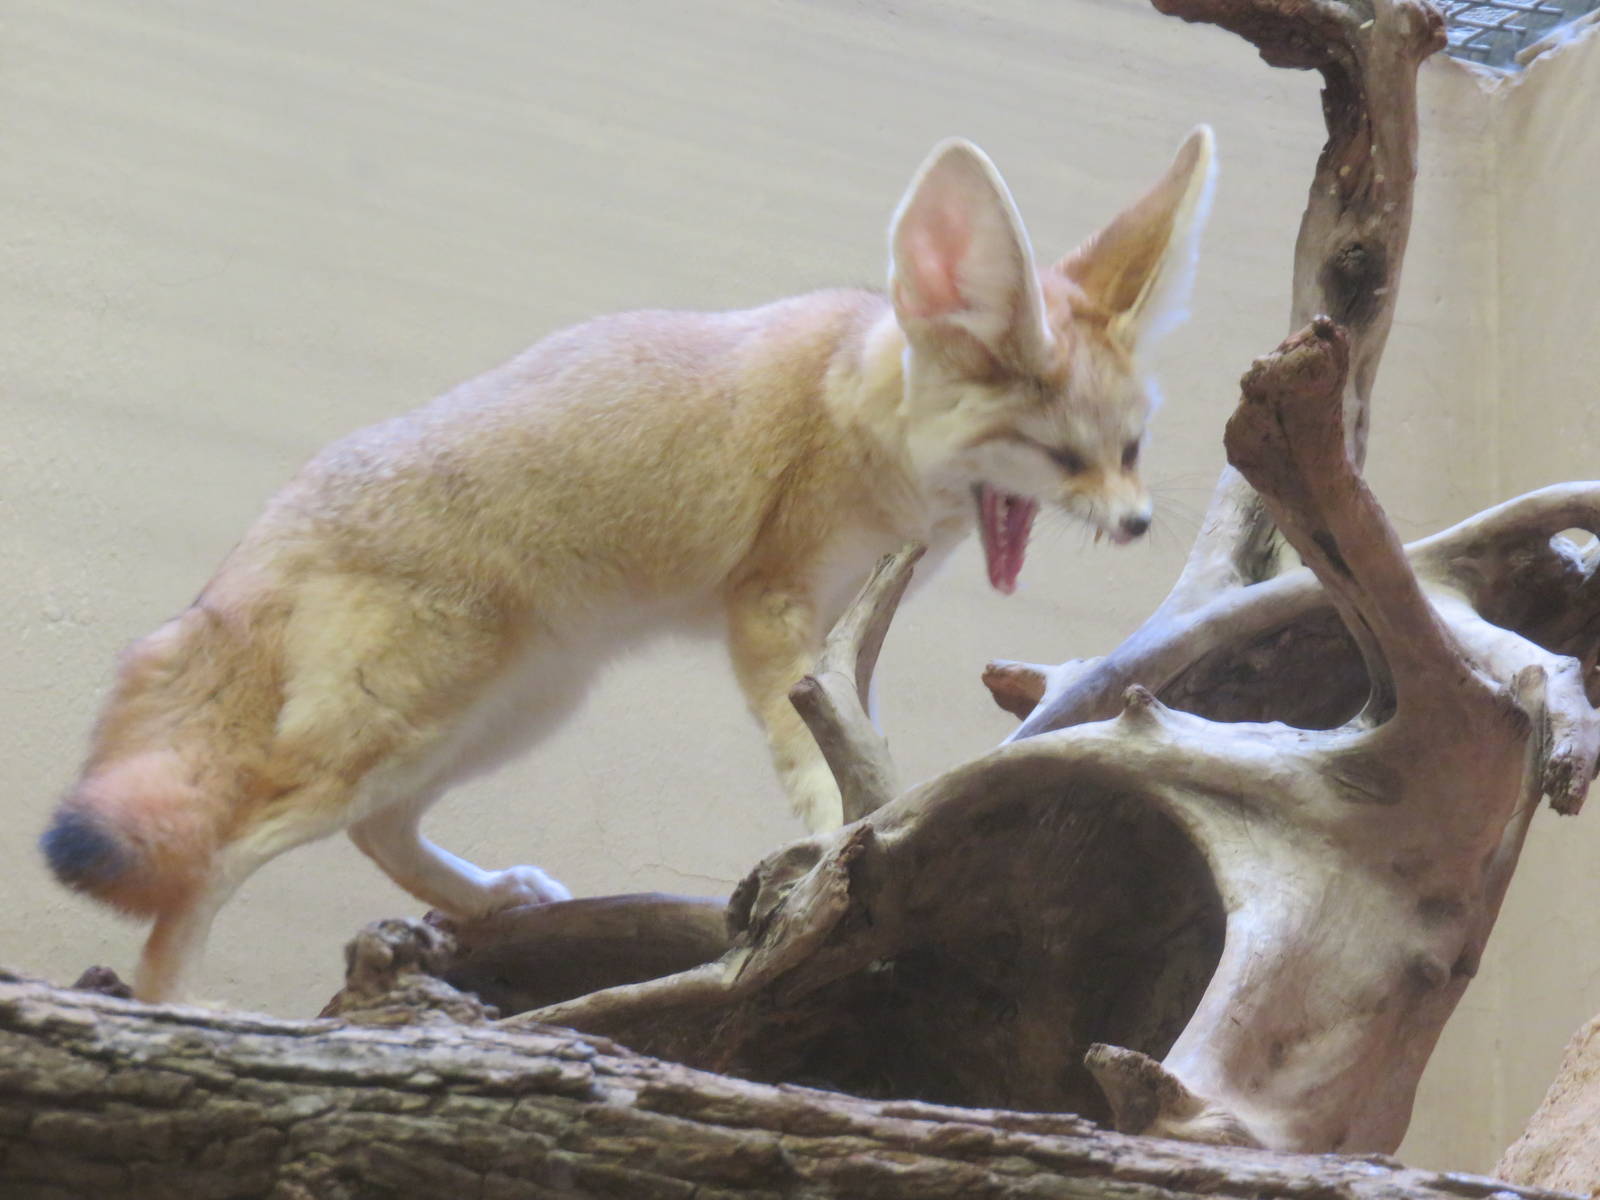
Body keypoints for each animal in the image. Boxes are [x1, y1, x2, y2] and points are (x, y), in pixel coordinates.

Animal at [41, 128, 1215, 1003]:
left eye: (1131, 449)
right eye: (1062, 456)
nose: (1138, 524)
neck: (856, 405)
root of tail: (270, 527)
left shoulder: (852, 622)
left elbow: (861, 732)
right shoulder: (773, 613)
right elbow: (815, 756)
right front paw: (842, 838)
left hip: (506, 714)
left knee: (380, 831)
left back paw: (486, 902)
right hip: (403, 730)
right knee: (214, 866)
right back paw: (173, 1009)